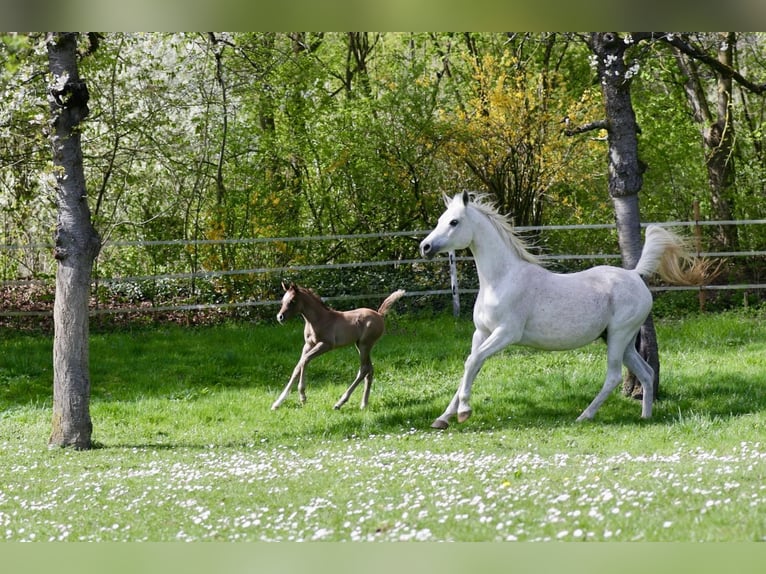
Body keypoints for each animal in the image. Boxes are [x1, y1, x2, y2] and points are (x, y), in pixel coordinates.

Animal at [272, 282, 406, 411]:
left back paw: (340, 403)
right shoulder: (308, 345)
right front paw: (277, 403)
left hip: (365, 344)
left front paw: (302, 396)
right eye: (282, 301)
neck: (319, 319)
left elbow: (305, 360)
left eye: (292, 301)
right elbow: (297, 368)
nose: (280, 317)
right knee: (370, 370)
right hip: (360, 345)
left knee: (364, 369)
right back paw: (363, 404)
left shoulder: (326, 345)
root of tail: (379, 314)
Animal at [419, 191, 711, 429]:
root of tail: (635, 274)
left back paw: (584, 416)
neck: (501, 279)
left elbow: (472, 362)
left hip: (619, 335)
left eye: (454, 222)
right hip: (623, 339)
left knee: (614, 376)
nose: (425, 247)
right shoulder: (481, 333)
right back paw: (645, 416)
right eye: (440, 220)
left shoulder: (506, 334)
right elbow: (470, 365)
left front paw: (464, 412)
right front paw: (443, 418)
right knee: (647, 373)